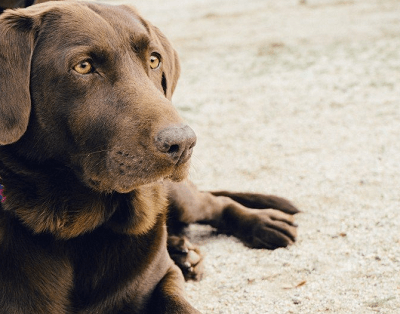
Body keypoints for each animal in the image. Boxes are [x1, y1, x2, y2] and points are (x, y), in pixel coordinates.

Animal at [0, 1, 296, 312]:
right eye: (83, 66)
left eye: (154, 60)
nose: (183, 143)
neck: (78, 229)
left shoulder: (161, 278)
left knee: (214, 203)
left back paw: (262, 223)